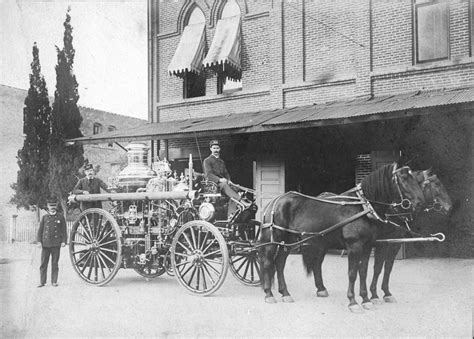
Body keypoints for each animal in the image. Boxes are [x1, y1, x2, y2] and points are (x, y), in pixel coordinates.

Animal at [260, 163, 426, 312]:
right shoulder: (355, 246)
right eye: (403, 179)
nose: (420, 203)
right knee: (268, 263)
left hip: (288, 242)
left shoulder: (367, 246)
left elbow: (363, 271)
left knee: (280, 264)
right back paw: (269, 294)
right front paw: (353, 302)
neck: (362, 207)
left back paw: (285, 293)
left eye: (415, 179)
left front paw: (366, 299)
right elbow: (353, 273)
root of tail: (274, 202)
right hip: (273, 241)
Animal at [368, 169, 454, 304]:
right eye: (437, 184)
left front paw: (387, 293)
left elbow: (388, 267)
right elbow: (377, 267)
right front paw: (374, 295)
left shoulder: (394, 243)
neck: (392, 212)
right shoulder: (381, 244)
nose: (450, 207)